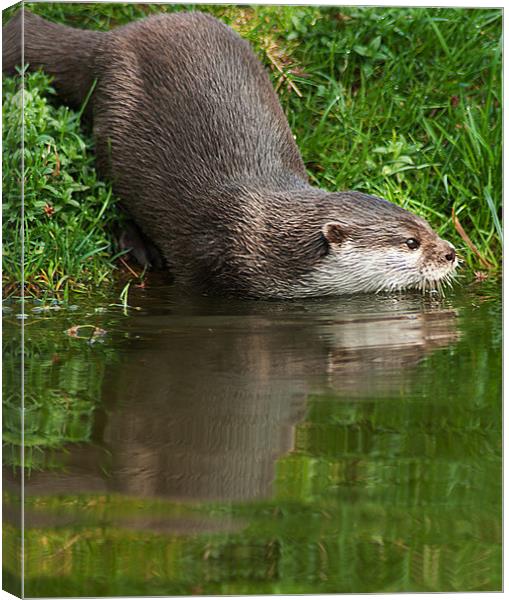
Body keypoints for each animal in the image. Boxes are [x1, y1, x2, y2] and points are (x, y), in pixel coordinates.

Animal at [1, 8, 458, 298]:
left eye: (428, 224)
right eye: (411, 242)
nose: (452, 253)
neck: (264, 239)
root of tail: (111, 39)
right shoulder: (203, 262)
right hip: (113, 125)